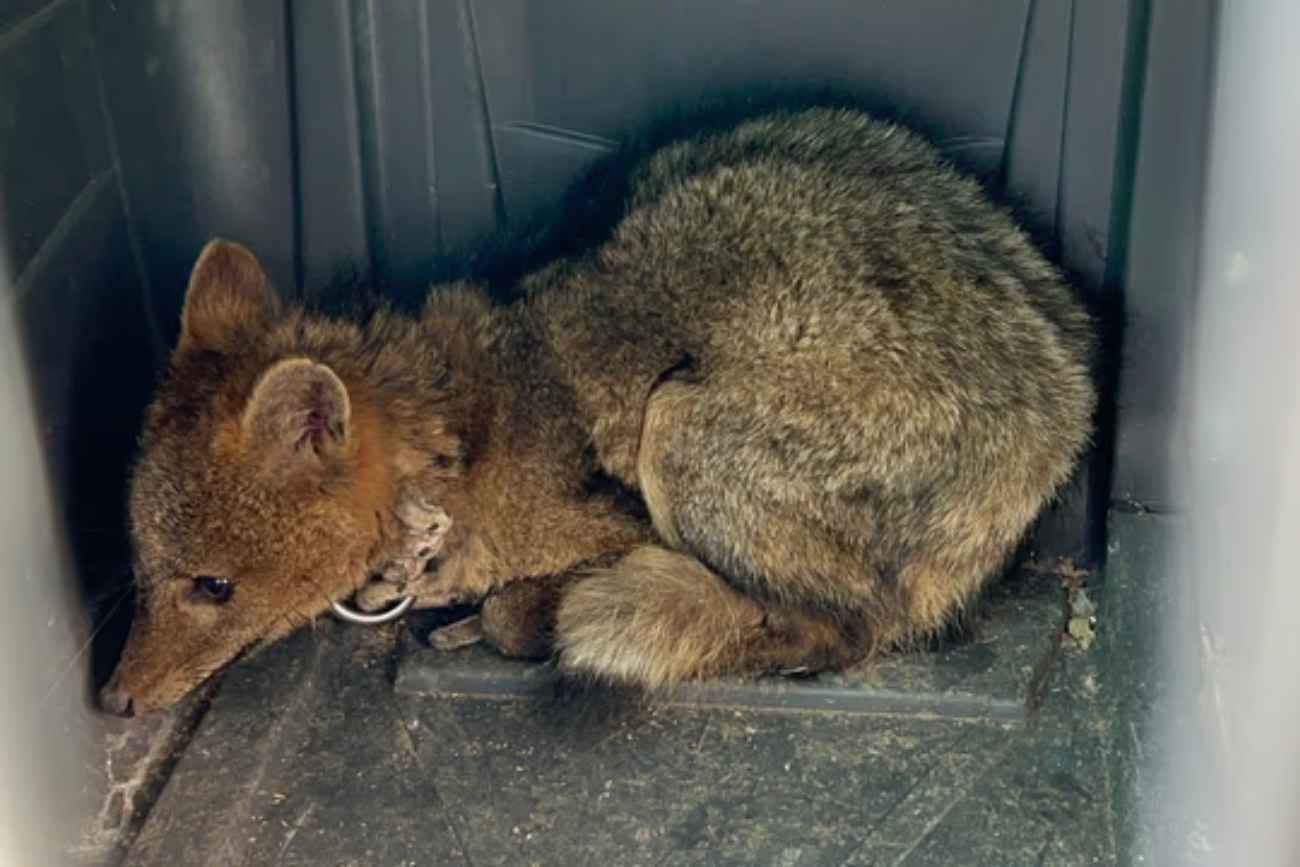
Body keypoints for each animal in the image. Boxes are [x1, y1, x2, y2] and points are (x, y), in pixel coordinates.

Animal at [98, 106, 1096, 717]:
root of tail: (1067, 410)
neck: (457, 455)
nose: (113, 699)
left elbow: (520, 605)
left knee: (841, 631)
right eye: (141, 571)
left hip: (680, 432)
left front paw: (511, 615)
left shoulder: (613, 519)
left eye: (213, 587)